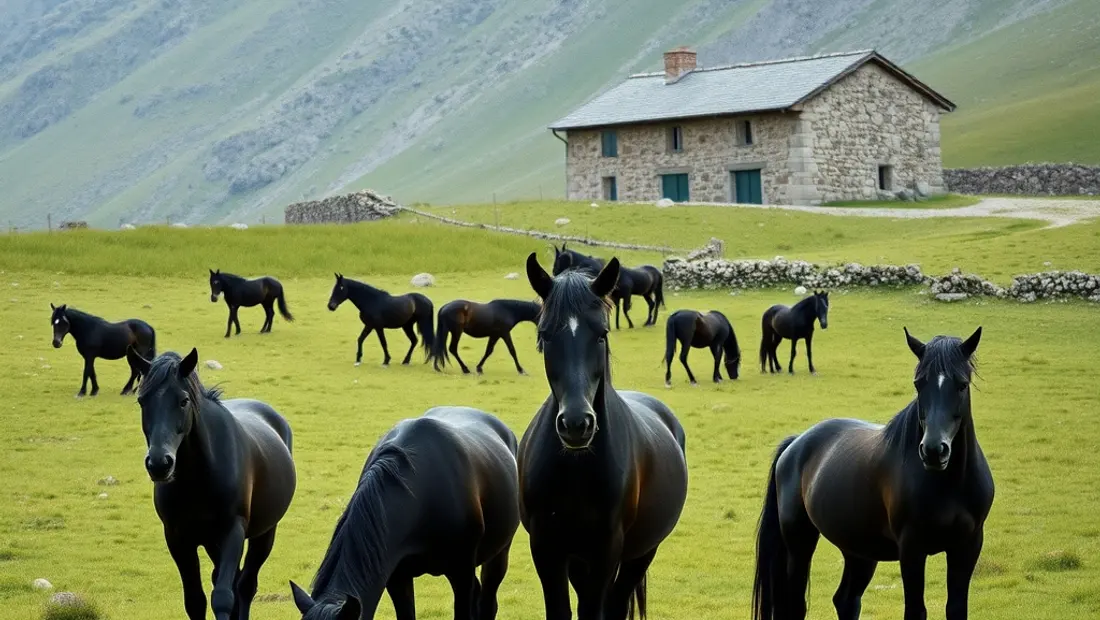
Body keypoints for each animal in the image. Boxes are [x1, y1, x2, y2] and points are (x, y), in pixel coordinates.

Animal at [127, 346, 297, 620]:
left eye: (183, 401)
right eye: (142, 401)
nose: (160, 464)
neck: (199, 476)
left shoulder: (232, 530)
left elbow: (224, 596)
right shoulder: (177, 538)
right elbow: (195, 601)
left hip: (265, 533)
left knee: (245, 585)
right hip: (210, 541)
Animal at [520, 252, 689, 620]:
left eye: (601, 334)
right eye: (545, 335)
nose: (576, 424)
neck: (576, 469)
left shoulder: (606, 551)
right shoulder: (547, 549)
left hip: (640, 554)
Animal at [751, 326, 992, 620]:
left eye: (962, 384)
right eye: (918, 384)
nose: (934, 450)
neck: (950, 484)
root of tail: (795, 443)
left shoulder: (967, 545)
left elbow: (956, 608)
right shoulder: (912, 548)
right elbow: (915, 610)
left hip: (859, 550)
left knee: (846, 600)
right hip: (799, 544)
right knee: (796, 605)